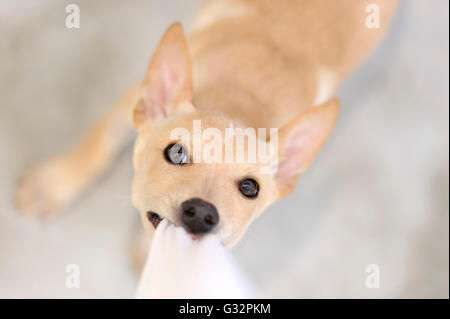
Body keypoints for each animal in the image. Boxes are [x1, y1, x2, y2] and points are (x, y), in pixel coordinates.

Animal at [15, 0, 398, 248]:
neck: (236, 98)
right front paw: (52, 185)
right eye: (177, 153)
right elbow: (99, 142)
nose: (201, 214)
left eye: (250, 188)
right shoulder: (130, 100)